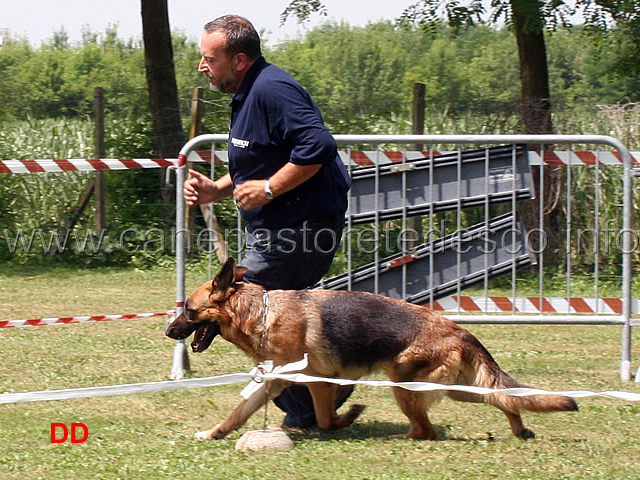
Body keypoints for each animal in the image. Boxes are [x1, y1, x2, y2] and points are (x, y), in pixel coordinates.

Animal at [165, 256, 576, 440]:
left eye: (189, 310)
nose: (169, 331)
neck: (262, 313)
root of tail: (460, 332)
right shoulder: (275, 382)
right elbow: (239, 412)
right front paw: (214, 433)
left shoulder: (319, 382)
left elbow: (326, 418)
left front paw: (344, 420)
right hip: (457, 388)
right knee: (503, 399)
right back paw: (520, 429)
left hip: (405, 386)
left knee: (425, 430)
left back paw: (397, 436)